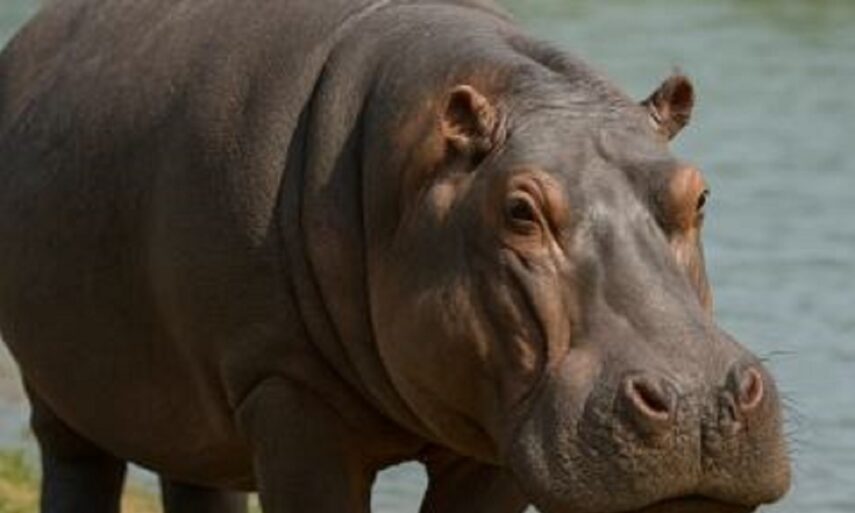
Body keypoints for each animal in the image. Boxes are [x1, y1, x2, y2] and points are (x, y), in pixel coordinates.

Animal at [0, 0, 791, 512]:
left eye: (697, 193)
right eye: (519, 210)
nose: (700, 401)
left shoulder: (494, 430)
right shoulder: (286, 390)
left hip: (188, 405)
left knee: (199, 480)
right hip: (61, 392)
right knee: (76, 468)